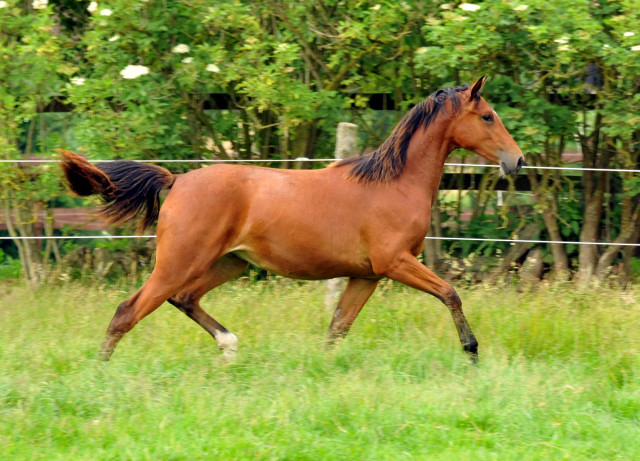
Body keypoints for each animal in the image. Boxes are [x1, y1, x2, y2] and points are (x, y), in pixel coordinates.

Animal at [57, 76, 524, 362]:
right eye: (487, 116)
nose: (516, 161)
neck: (393, 183)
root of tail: (178, 180)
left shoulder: (367, 275)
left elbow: (337, 329)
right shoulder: (395, 262)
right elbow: (450, 294)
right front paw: (472, 351)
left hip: (229, 262)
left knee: (184, 299)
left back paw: (229, 346)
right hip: (179, 261)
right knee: (127, 311)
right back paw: (101, 375)